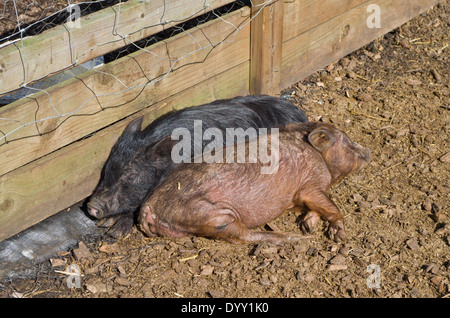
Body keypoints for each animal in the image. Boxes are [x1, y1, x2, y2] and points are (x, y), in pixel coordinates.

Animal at [139, 121, 370, 243]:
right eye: (347, 143)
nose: (367, 152)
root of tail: (148, 206)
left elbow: (317, 207)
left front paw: (307, 225)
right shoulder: (312, 182)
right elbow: (329, 205)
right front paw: (337, 235)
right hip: (212, 215)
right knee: (243, 235)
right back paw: (295, 239)